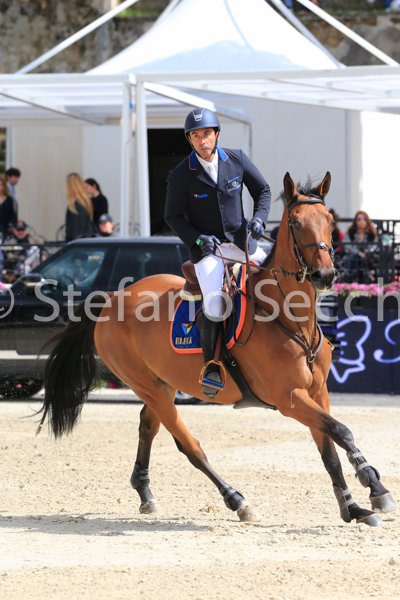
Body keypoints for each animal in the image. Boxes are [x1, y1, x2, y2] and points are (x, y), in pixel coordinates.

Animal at [39, 172, 396, 527]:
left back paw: (145, 493)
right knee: (190, 446)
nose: (325, 274)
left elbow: (330, 451)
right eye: (295, 223)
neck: (290, 319)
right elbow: (341, 431)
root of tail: (111, 299)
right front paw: (376, 489)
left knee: (148, 426)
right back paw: (237, 500)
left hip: (161, 385)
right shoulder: (290, 398)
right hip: (148, 386)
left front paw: (353, 507)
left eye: (329, 221)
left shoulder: (317, 392)